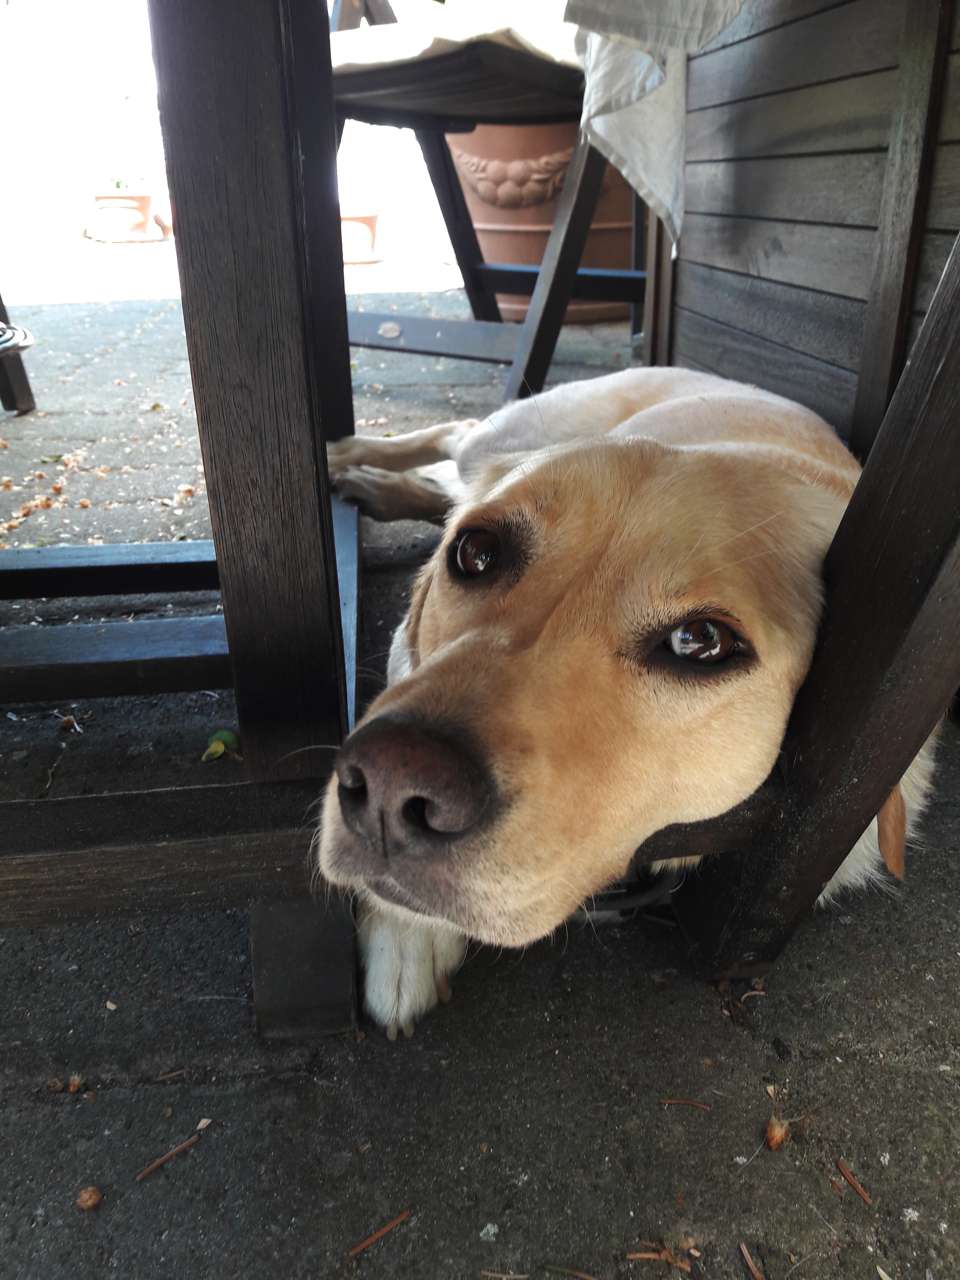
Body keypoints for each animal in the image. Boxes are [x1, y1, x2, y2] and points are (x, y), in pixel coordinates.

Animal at [317, 367, 936, 1038]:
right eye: (476, 552)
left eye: (700, 641)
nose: (390, 785)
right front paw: (406, 936)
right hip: (509, 433)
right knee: (455, 433)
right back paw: (348, 457)